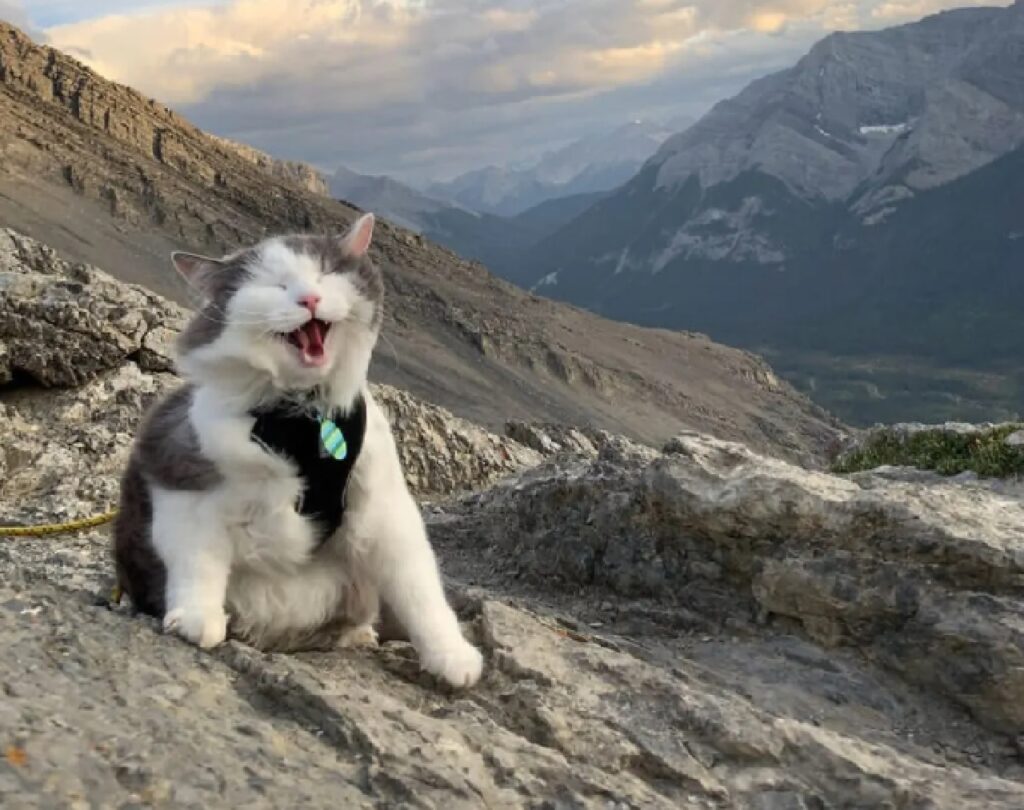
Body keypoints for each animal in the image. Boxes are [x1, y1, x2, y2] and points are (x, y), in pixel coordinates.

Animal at [112, 215, 483, 692]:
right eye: (276, 285)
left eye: (324, 274)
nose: (309, 298)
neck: (303, 415)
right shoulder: (180, 478)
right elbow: (197, 561)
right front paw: (196, 620)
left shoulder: (385, 510)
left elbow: (420, 591)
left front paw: (453, 657)